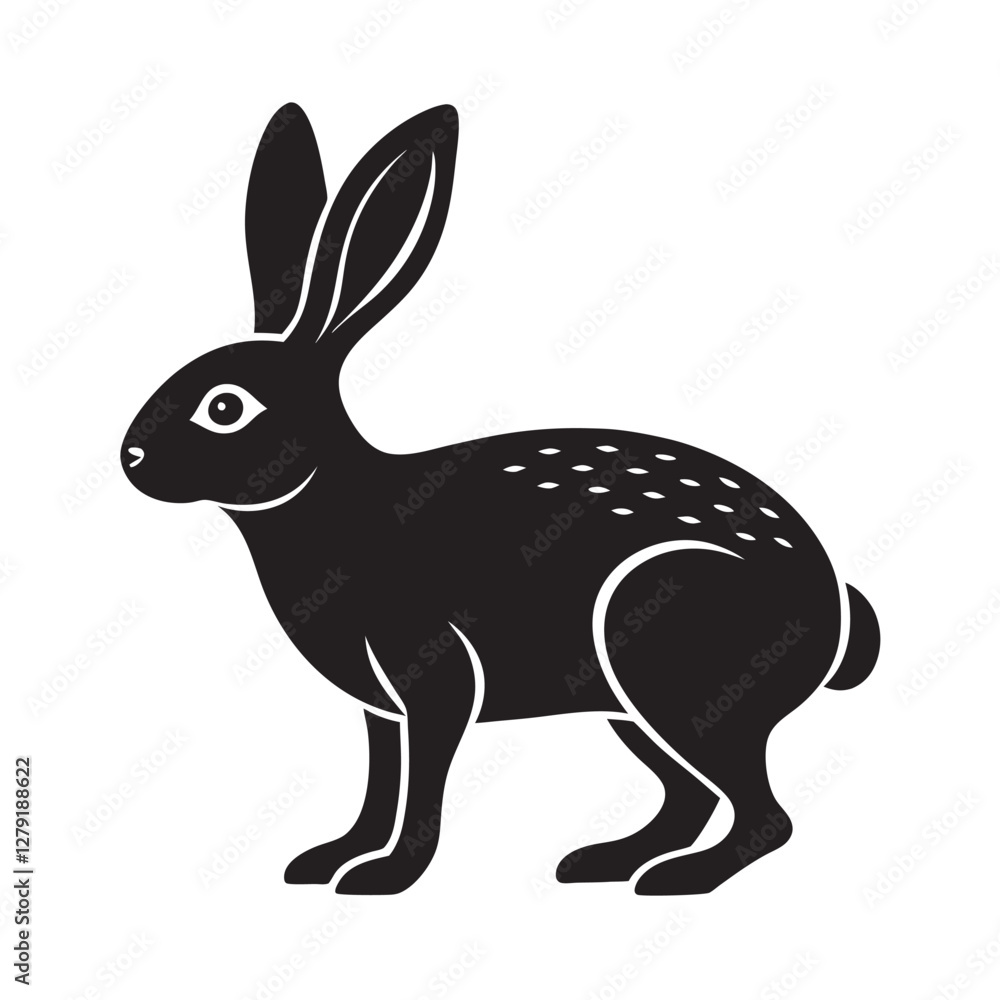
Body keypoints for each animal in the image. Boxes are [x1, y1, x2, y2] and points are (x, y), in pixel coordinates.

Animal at [121, 103, 880, 895]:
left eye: (225, 407)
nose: (129, 460)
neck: (339, 505)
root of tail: (835, 608)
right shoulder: (380, 710)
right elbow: (379, 782)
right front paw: (328, 860)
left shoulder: (433, 677)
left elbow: (420, 783)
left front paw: (384, 876)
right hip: (632, 707)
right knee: (691, 795)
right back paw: (605, 863)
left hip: (674, 661)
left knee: (763, 812)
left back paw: (679, 878)